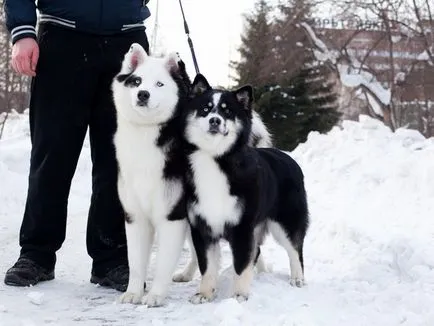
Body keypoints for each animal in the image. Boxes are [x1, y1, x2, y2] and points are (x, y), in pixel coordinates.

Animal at [112, 42, 272, 306]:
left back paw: (261, 270)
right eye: (136, 81)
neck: (147, 136)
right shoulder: (135, 215)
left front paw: (155, 295)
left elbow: (165, 260)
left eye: (159, 84)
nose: (143, 94)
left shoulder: (173, 215)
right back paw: (187, 274)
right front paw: (133, 292)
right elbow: (136, 262)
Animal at [181, 75, 310, 304]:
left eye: (227, 112)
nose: (215, 121)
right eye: (205, 109)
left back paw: (297, 278)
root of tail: (288, 158)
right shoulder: (203, 227)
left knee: (295, 249)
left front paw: (239, 295)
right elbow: (207, 266)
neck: (217, 158)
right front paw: (205, 293)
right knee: (258, 251)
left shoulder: (242, 228)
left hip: (286, 221)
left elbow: (241, 264)